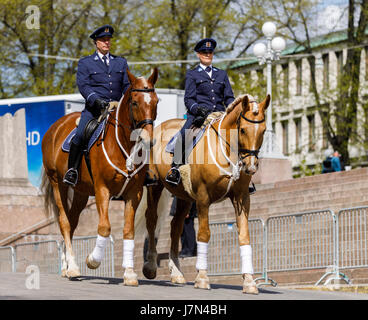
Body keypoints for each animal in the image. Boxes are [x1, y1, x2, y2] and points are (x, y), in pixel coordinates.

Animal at [41, 68, 158, 284]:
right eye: (135, 102)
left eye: (155, 101)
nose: (148, 140)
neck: (124, 145)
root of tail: (56, 126)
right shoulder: (102, 190)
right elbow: (104, 227)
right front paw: (93, 260)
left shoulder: (134, 193)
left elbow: (128, 230)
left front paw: (129, 273)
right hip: (58, 184)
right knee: (64, 222)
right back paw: (73, 268)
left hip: (81, 193)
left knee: (72, 222)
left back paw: (66, 266)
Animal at [135, 92, 270, 292]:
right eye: (243, 130)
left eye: (263, 131)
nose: (251, 167)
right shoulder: (203, 198)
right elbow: (204, 234)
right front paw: (202, 278)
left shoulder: (242, 198)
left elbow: (244, 236)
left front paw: (249, 282)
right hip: (156, 186)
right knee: (152, 220)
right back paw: (150, 267)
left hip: (184, 197)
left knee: (176, 226)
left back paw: (177, 273)